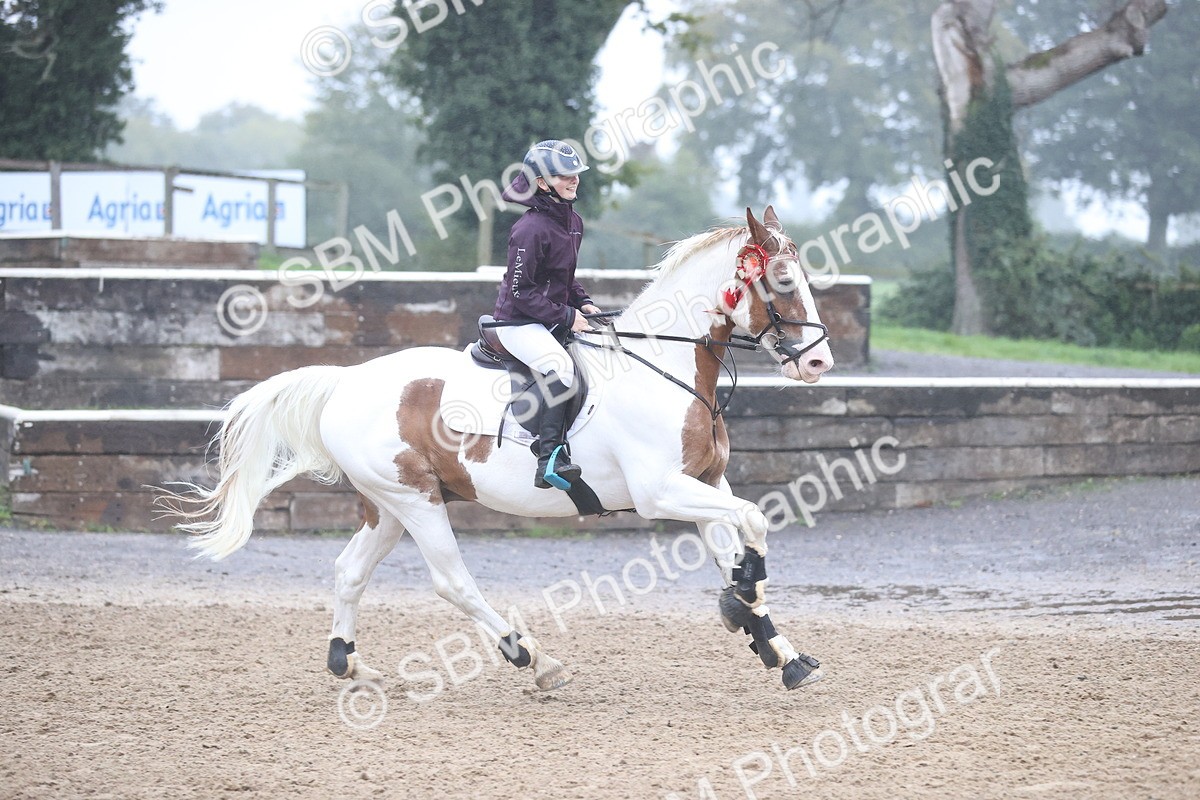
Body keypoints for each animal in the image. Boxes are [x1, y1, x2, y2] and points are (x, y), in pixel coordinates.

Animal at [161, 206, 835, 692]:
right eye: (781, 280)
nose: (819, 362)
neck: (662, 365)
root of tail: (347, 381)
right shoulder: (663, 491)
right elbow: (753, 523)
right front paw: (748, 600)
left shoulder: (706, 485)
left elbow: (736, 545)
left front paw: (775, 645)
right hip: (417, 501)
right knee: (452, 582)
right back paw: (531, 657)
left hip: (389, 505)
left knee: (350, 570)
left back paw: (348, 662)